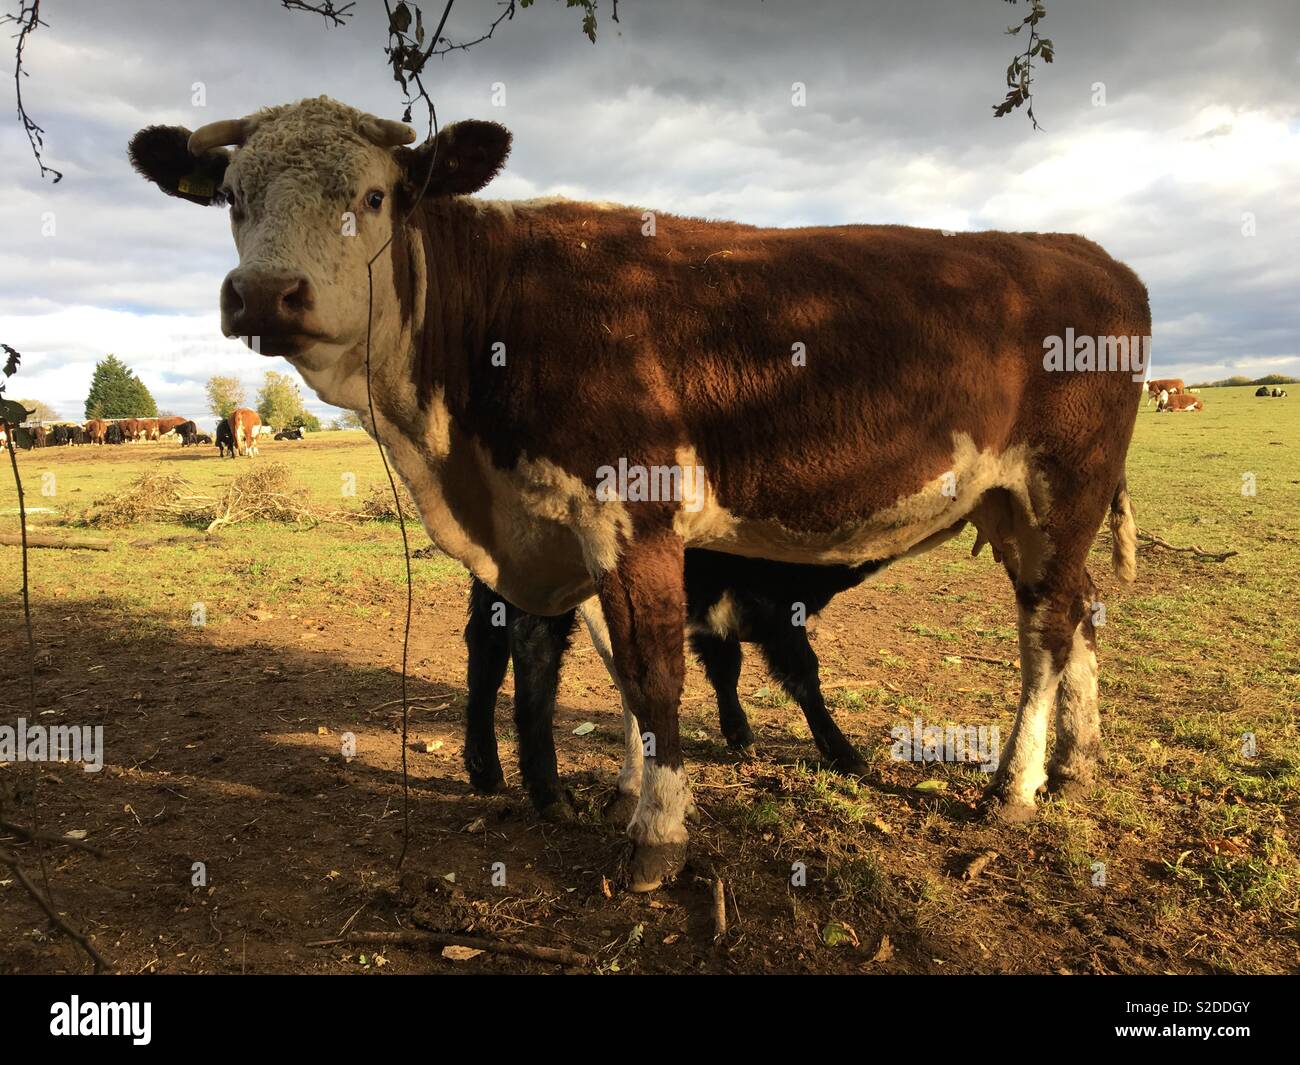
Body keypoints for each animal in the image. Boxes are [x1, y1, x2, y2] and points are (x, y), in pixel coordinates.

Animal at [130, 97, 1148, 891]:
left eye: (372, 197)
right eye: (232, 198)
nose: (265, 293)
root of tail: (1089, 255)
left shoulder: (636, 513)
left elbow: (655, 673)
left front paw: (657, 837)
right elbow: (617, 672)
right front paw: (631, 792)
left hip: (1063, 488)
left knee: (1047, 630)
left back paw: (1014, 788)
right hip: (1013, 507)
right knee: (1080, 614)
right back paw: (1079, 765)